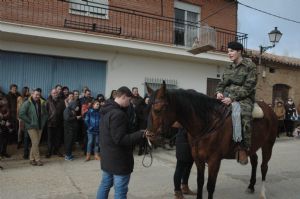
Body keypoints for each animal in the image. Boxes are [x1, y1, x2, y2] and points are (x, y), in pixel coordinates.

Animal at [146, 81, 278, 198]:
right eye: (148, 108)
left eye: (158, 110)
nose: (149, 135)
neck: (208, 122)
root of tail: (270, 109)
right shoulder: (198, 159)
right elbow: (200, 182)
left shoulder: (214, 161)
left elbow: (210, 186)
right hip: (252, 146)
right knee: (255, 161)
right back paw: (251, 186)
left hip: (268, 145)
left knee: (264, 167)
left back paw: (262, 193)